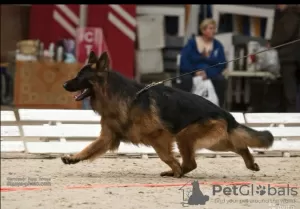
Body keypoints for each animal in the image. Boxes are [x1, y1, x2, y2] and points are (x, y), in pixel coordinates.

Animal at [61, 51, 274, 177]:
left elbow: (165, 156)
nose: (63, 84)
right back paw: (250, 163)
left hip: (186, 136)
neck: (116, 95)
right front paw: (73, 158)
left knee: (192, 163)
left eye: (80, 76)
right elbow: (88, 149)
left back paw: (176, 172)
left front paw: (176, 169)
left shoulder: (159, 136)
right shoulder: (108, 137)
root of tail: (225, 112)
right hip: (213, 141)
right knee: (239, 146)